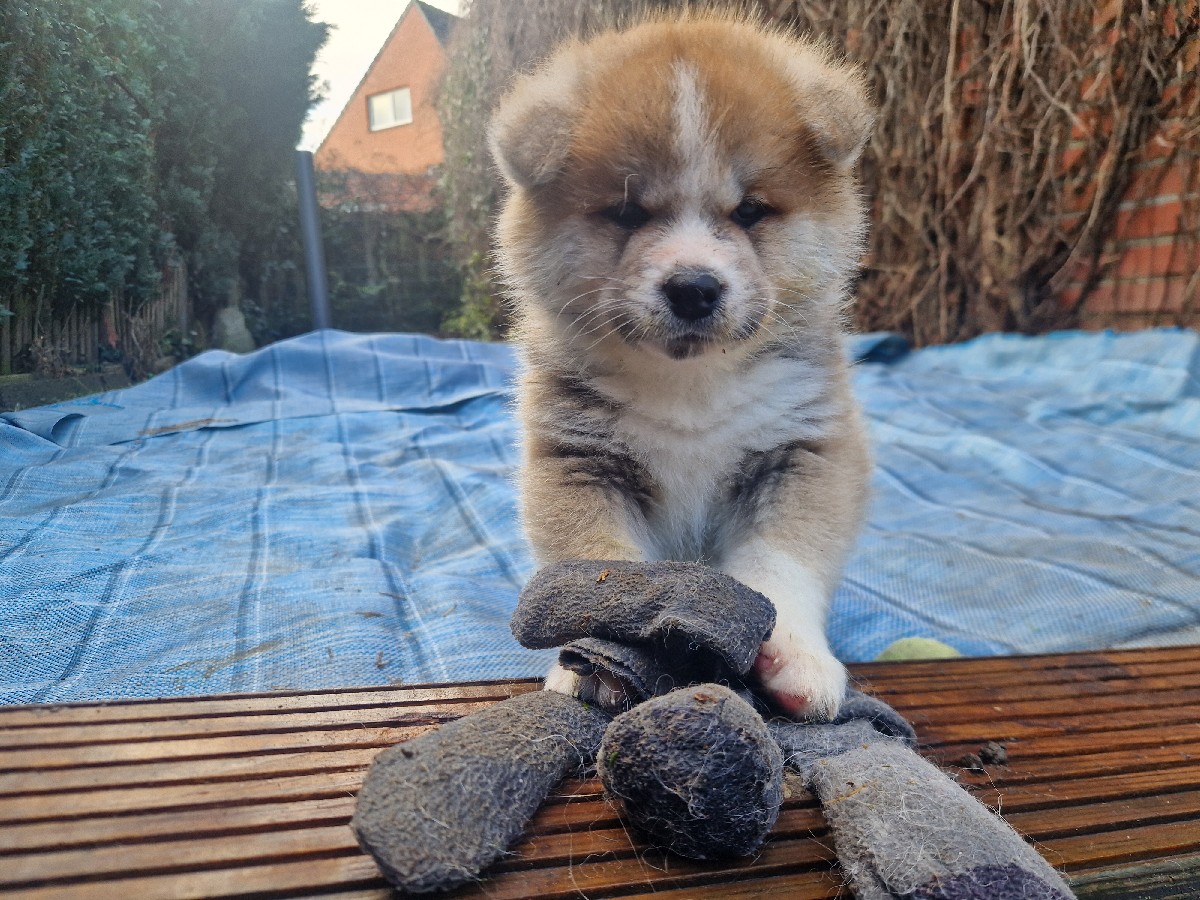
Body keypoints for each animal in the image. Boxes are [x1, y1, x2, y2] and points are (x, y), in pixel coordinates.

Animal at [488, 10, 874, 720]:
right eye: (626, 210)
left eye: (749, 210)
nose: (694, 287)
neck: (691, 391)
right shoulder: (581, 461)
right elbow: (603, 573)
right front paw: (597, 661)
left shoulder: (802, 452)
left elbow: (781, 564)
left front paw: (797, 656)